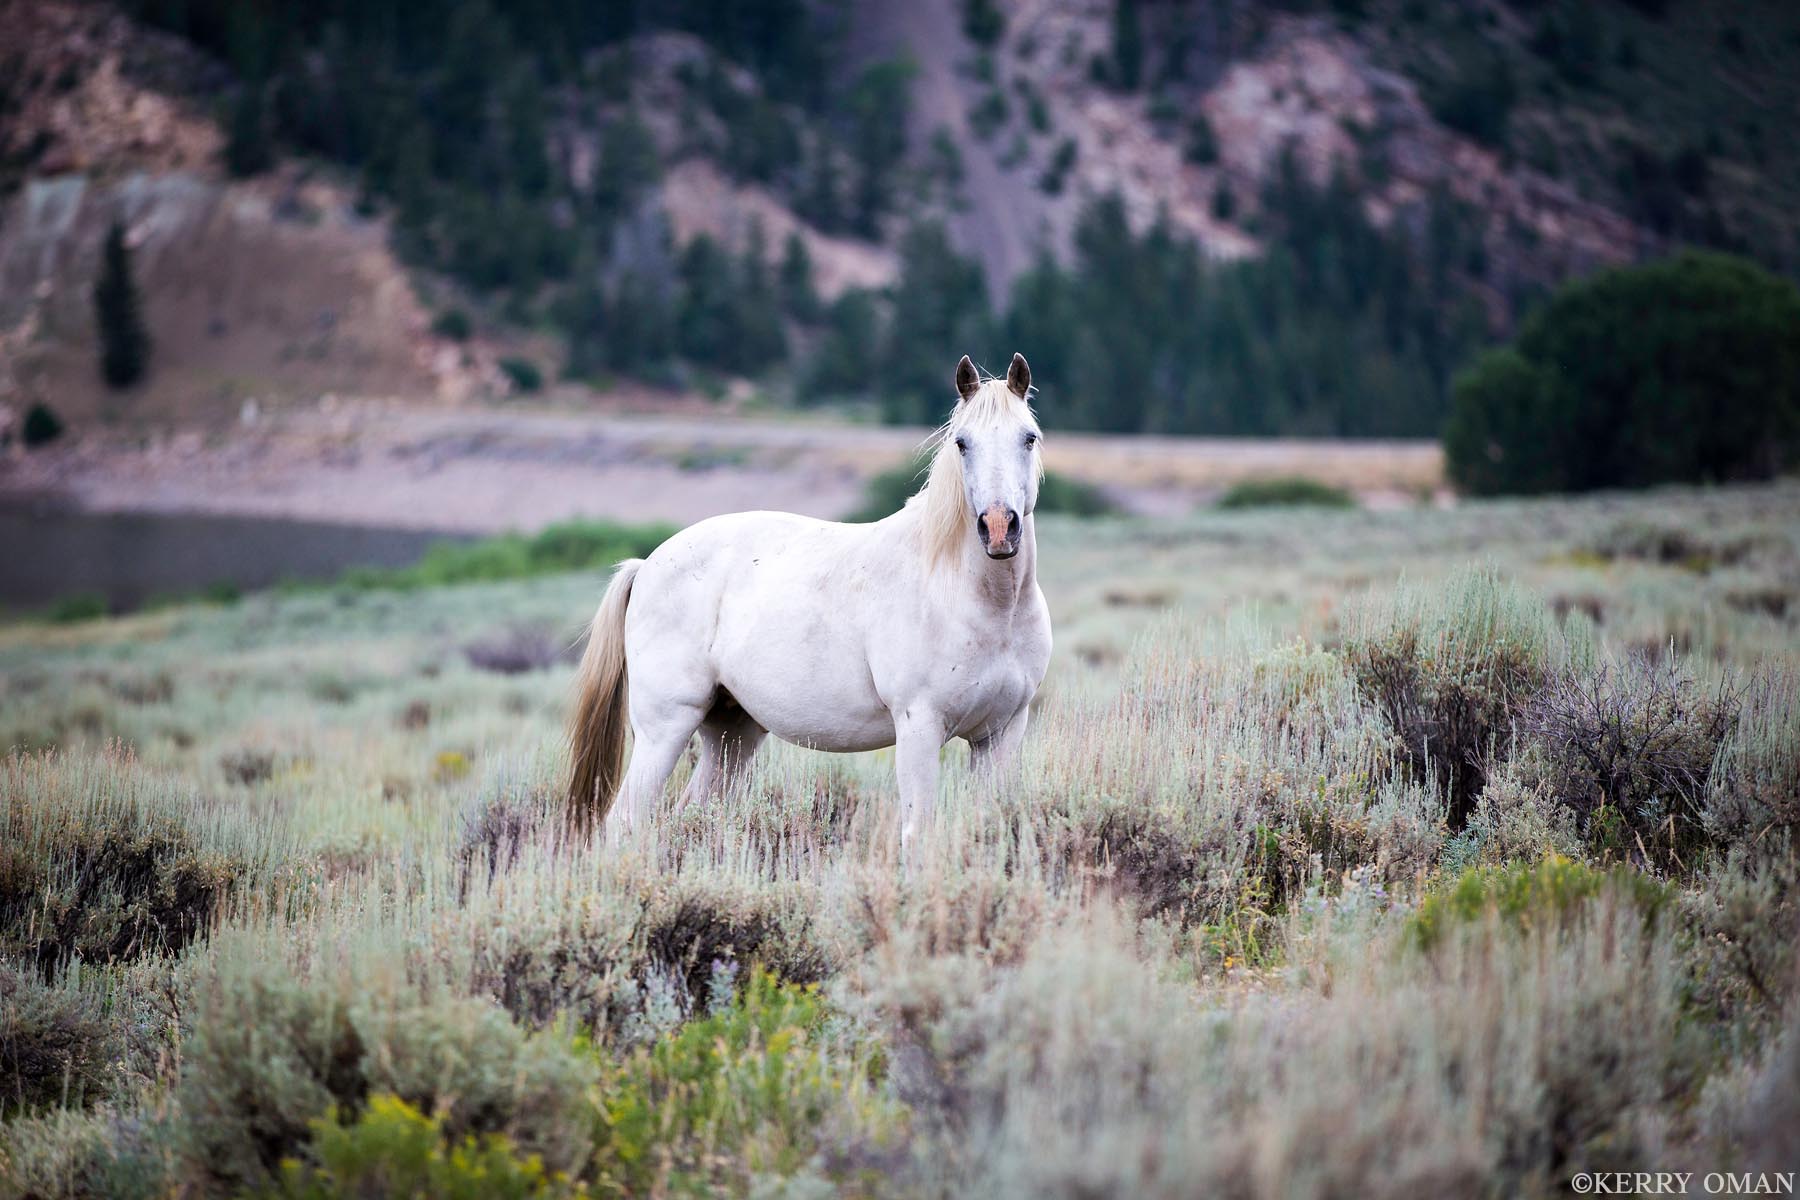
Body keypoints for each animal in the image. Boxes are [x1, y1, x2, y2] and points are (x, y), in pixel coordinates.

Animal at [567, 352, 1052, 845]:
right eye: (962, 443)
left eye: (1029, 438)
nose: (998, 527)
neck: (981, 605)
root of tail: (646, 565)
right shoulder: (919, 727)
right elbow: (917, 833)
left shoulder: (999, 734)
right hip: (665, 729)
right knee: (624, 820)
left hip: (731, 735)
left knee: (692, 812)